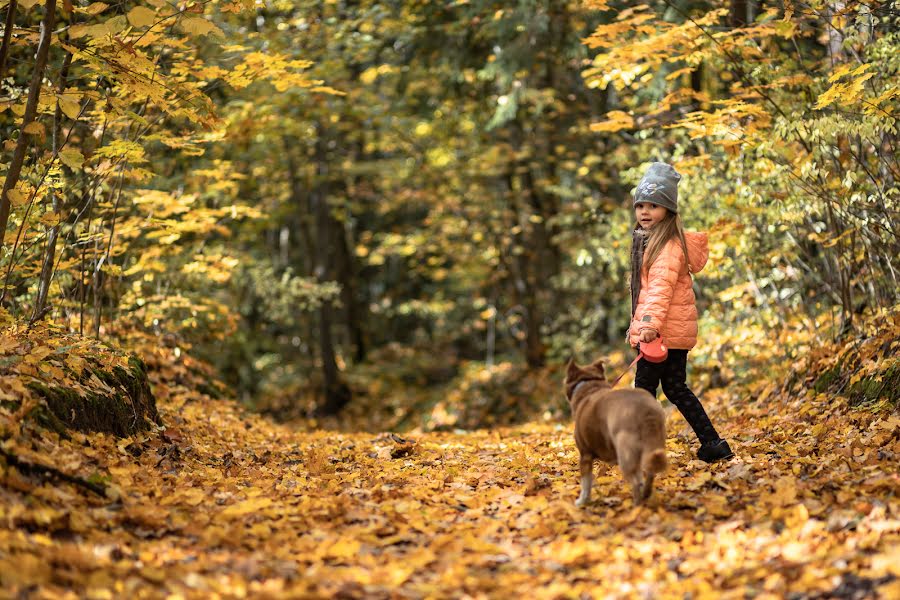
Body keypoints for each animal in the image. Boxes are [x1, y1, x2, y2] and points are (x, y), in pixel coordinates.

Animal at [568, 356, 664, 506]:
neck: (589, 386)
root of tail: (645, 409)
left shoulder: (585, 455)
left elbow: (586, 483)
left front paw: (582, 501)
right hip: (654, 445)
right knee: (648, 472)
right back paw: (646, 494)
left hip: (625, 453)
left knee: (636, 481)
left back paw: (636, 504)